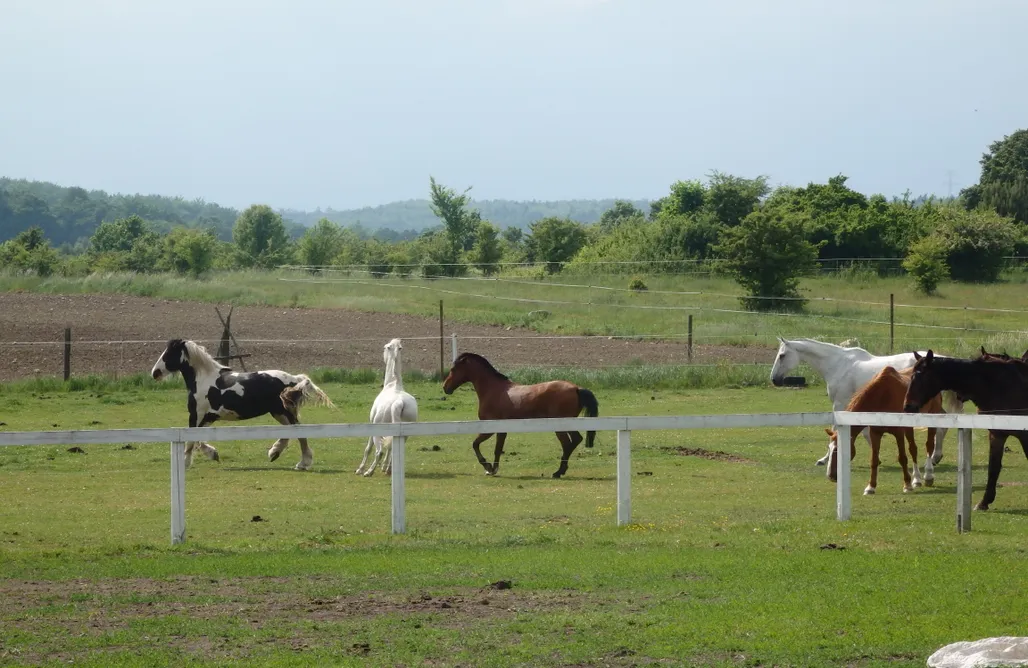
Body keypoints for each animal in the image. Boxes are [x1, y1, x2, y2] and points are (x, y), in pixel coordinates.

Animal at [150, 339, 333, 468]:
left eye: (168, 354)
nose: (155, 373)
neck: (203, 379)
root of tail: (294, 379)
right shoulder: (208, 417)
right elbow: (199, 440)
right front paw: (213, 454)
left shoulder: (196, 415)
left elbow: (191, 441)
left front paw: (186, 463)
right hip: (278, 412)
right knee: (289, 432)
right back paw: (274, 453)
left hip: (284, 411)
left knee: (299, 432)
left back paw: (302, 463)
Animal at [355, 339, 415, 472]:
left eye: (384, 348)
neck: (393, 385)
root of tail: (399, 402)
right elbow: (390, 447)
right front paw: (384, 466)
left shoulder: (372, 426)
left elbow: (368, 449)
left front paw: (360, 469)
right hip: (405, 434)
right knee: (394, 448)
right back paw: (388, 469)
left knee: (379, 452)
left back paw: (369, 472)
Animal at [439, 351, 600, 476]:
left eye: (453, 368)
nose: (445, 387)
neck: (493, 389)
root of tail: (576, 388)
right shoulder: (501, 430)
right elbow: (497, 449)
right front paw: (493, 469)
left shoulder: (490, 429)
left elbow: (476, 445)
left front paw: (488, 467)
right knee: (575, 440)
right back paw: (561, 470)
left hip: (560, 426)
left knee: (567, 444)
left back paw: (558, 472)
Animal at [773, 339, 962, 478]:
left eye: (782, 355)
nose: (774, 379)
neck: (838, 365)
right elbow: (864, 432)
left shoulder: (839, 404)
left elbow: (836, 430)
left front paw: (824, 459)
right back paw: (936, 457)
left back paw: (935, 458)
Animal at [904, 349, 1028, 509]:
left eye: (921, 375)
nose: (908, 406)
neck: (1001, 386)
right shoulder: (997, 435)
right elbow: (993, 468)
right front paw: (984, 502)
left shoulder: (1024, 435)